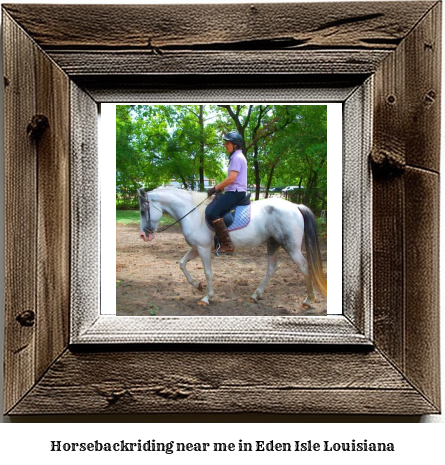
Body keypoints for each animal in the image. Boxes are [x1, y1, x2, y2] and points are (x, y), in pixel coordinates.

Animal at [138, 187, 326, 306]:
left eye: (142, 211)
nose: (144, 235)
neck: (193, 213)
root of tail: (296, 206)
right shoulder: (196, 248)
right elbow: (182, 264)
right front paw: (197, 285)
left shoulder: (203, 249)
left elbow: (208, 272)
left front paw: (207, 297)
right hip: (273, 243)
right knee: (272, 268)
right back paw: (256, 295)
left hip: (291, 247)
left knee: (304, 266)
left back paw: (309, 300)